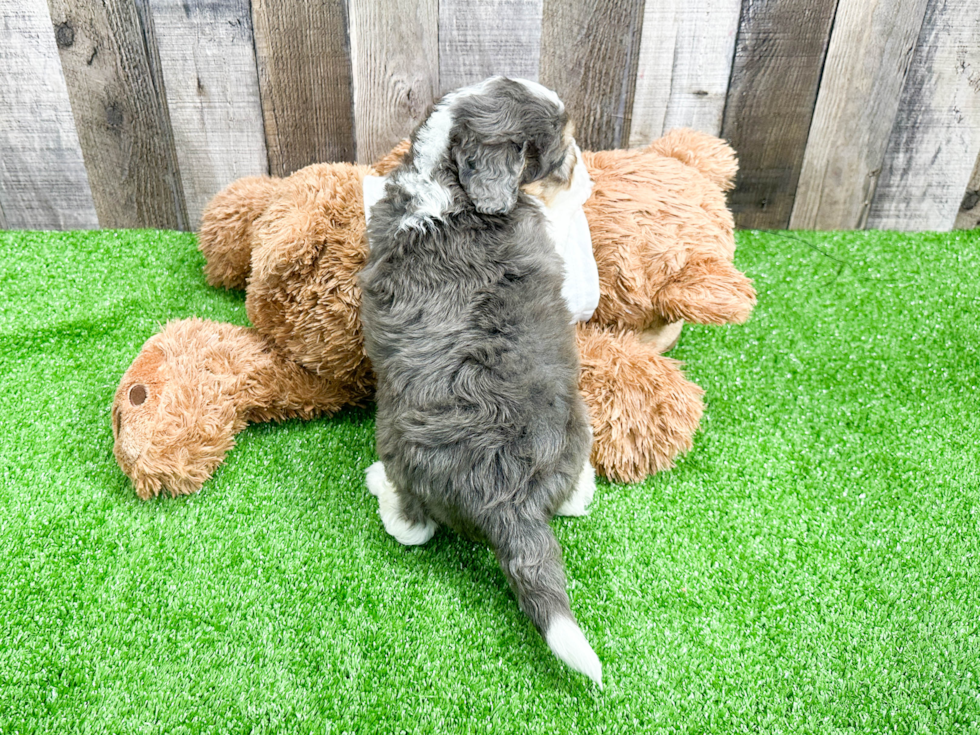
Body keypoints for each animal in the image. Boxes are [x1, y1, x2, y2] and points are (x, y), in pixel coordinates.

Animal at [360, 77, 600, 688]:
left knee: (414, 528)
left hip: (396, 439)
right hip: (576, 424)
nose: (587, 174)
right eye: (559, 153)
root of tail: (506, 496)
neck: (450, 184)